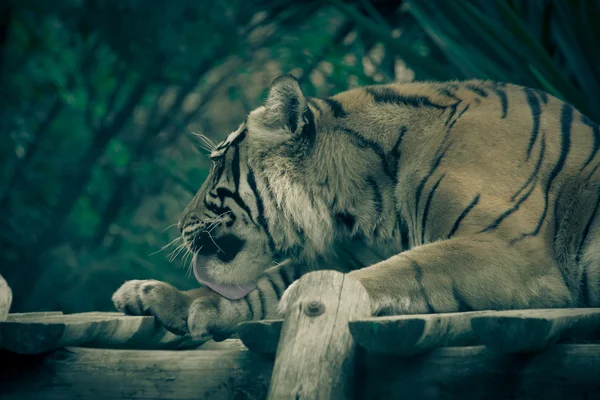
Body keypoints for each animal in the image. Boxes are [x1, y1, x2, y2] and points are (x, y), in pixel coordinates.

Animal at [111, 73, 600, 340]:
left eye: (215, 165)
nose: (179, 224)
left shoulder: (514, 250)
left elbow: (410, 267)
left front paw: (300, 300)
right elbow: (263, 284)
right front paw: (158, 296)